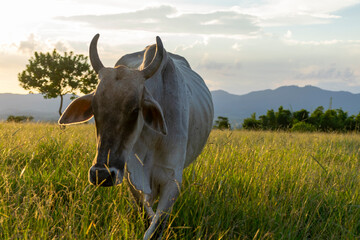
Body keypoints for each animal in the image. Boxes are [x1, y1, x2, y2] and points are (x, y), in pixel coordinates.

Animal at [59, 34, 214, 239]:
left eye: (134, 110)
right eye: (95, 109)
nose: (101, 174)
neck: (152, 138)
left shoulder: (172, 180)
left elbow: (156, 226)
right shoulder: (132, 176)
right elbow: (145, 215)